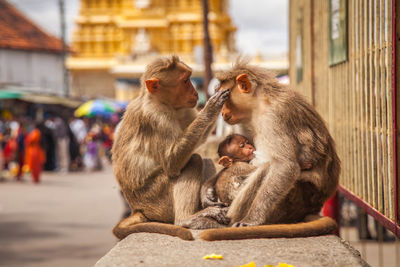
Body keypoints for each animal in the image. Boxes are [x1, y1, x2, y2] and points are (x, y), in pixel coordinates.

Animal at [112, 55, 230, 242]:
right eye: (185, 81)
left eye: (189, 78)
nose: (195, 92)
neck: (158, 100)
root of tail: (138, 209)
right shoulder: (157, 116)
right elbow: (172, 163)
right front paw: (213, 105)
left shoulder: (182, 108)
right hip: (158, 200)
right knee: (194, 160)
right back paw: (187, 219)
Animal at [198, 59, 340, 242]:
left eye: (226, 99)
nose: (222, 112)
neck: (258, 105)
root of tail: (314, 207)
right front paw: (207, 193)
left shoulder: (275, 115)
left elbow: (285, 166)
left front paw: (252, 220)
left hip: (294, 200)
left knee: (267, 168)